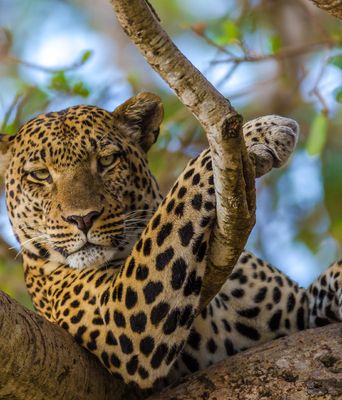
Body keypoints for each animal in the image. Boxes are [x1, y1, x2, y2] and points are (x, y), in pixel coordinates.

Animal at [0, 91, 340, 394]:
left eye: (107, 161)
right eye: (40, 174)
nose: (82, 218)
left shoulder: (300, 309)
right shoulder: (120, 317)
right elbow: (178, 196)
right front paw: (259, 132)